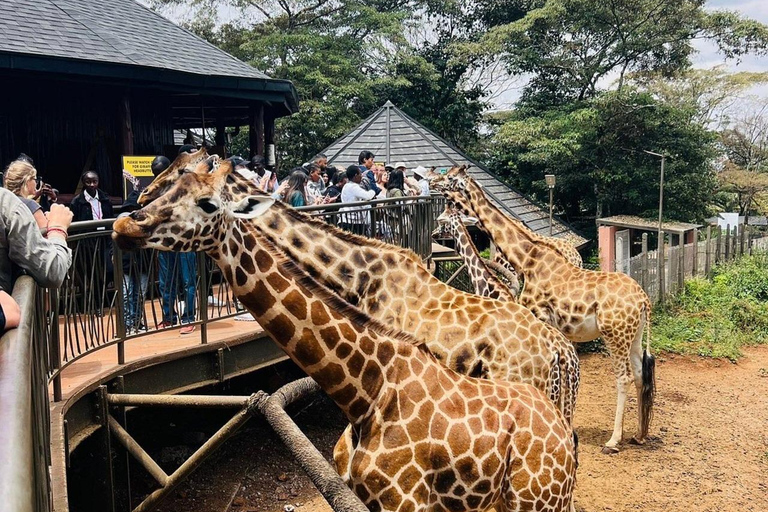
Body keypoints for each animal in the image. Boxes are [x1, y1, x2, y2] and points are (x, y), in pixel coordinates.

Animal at [438, 170, 656, 454]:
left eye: (450, 180)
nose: (433, 180)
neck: (526, 258)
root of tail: (643, 300)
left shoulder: (537, 314)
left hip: (614, 335)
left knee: (624, 377)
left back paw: (613, 440)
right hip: (634, 335)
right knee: (640, 374)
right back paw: (639, 434)